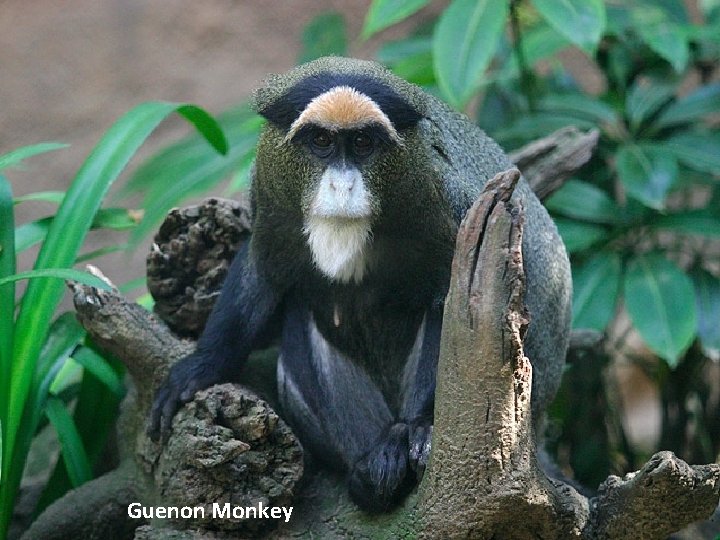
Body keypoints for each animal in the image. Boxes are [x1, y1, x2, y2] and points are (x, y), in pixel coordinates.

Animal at [149, 57, 572, 513]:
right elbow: (262, 270)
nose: (342, 185)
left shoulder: (449, 201)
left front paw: (425, 427)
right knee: (305, 316)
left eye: (363, 144)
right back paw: (372, 467)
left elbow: (457, 307)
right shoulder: (269, 190)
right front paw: (200, 367)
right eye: (321, 141)